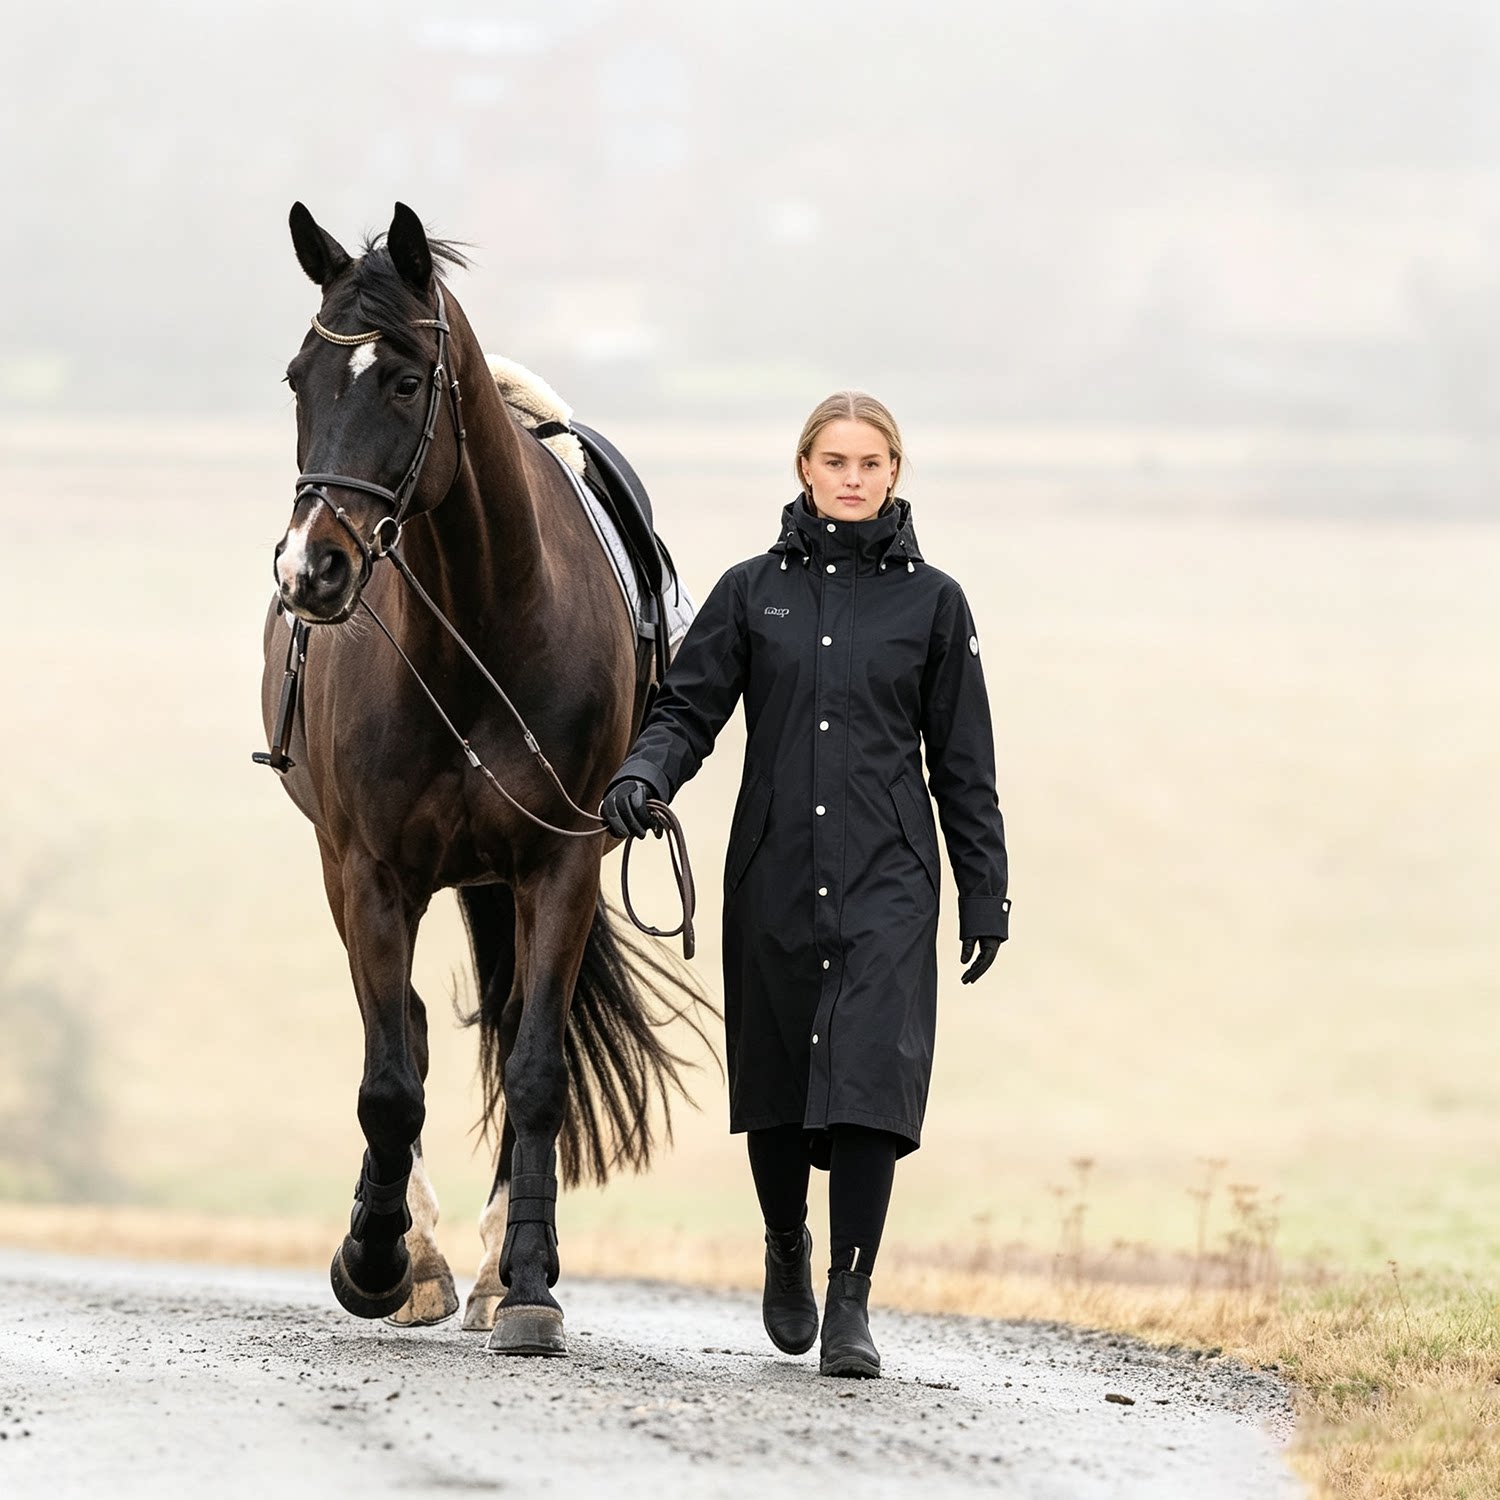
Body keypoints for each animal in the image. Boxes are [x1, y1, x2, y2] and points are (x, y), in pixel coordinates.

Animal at [260, 201, 702, 1355]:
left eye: (406, 380)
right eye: (297, 378)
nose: (310, 569)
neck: (480, 631)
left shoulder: (560, 866)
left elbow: (536, 1066)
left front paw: (529, 1283)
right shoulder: (368, 872)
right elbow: (389, 1079)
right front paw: (377, 1261)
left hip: (497, 881)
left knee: (504, 1031)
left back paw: (499, 1267)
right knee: (407, 1034)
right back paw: (411, 1252)